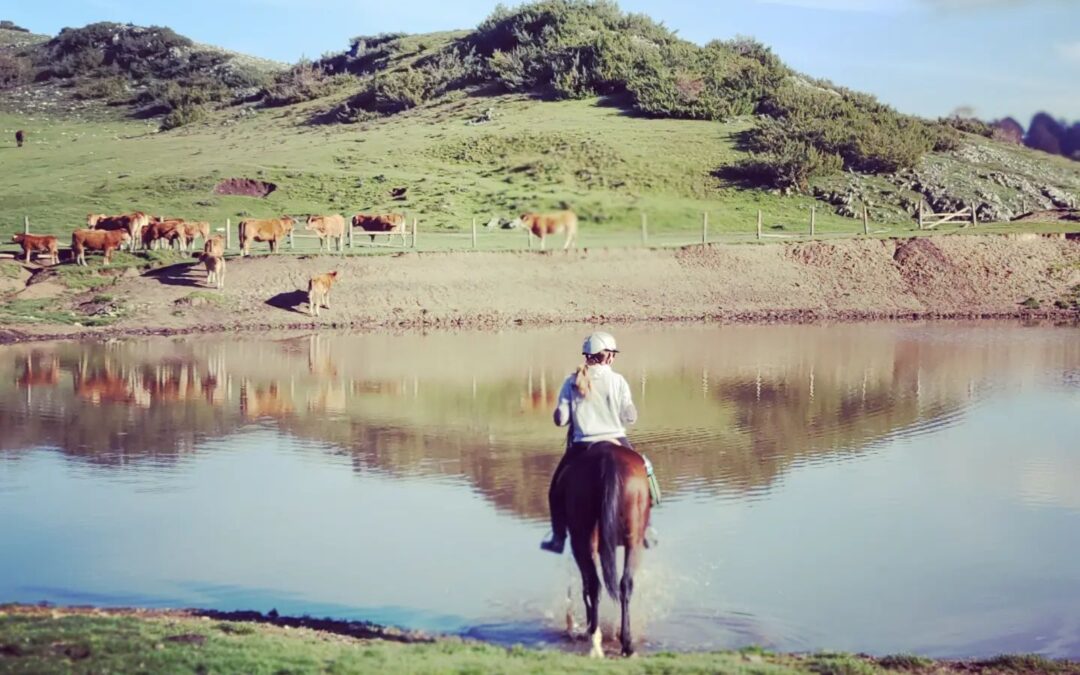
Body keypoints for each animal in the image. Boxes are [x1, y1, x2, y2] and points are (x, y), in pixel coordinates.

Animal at [557, 440, 648, 656]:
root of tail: (607, 459)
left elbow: (586, 586)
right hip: (633, 537)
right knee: (624, 584)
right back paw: (625, 643)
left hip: (582, 539)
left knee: (593, 584)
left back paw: (594, 636)